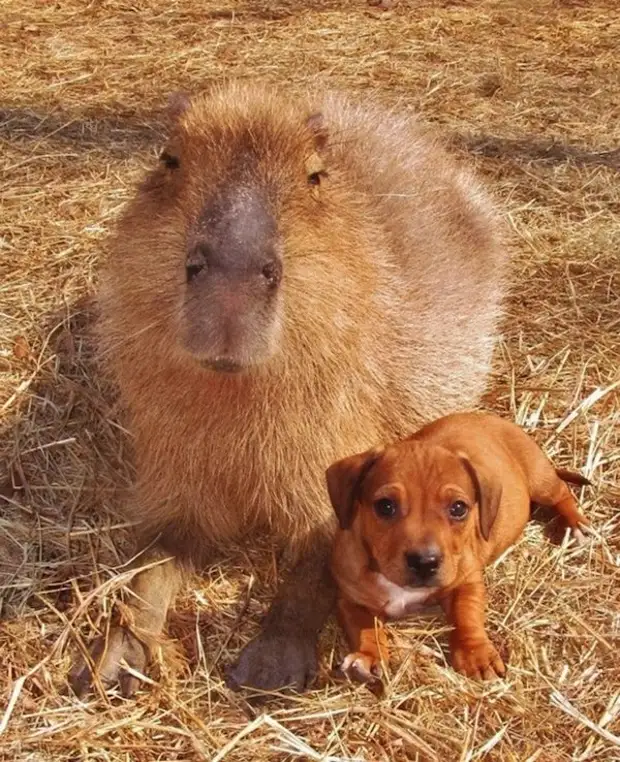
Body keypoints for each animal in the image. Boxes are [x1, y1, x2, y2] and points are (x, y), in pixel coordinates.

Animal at [326, 412, 588, 680]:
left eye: (458, 508)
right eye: (385, 506)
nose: (424, 562)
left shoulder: (467, 581)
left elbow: (466, 615)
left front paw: (476, 654)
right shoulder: (350, 599)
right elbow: (365, 628)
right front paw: (367, 656)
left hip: (540, 479)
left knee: (562, 492)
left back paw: (576, 524)